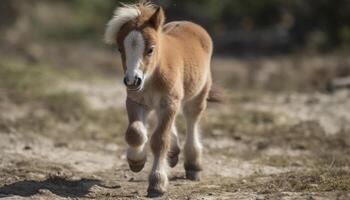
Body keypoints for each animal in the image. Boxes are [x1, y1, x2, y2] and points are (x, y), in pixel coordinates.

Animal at [104, 0, 219, 196]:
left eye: (150, 49)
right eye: (120, 49)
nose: (132, 81)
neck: (152, 77)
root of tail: (189, 23)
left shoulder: (169, 102)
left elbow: (159, 140)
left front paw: (157, 183)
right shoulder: (135, 101)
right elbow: (134, 132)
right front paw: (136, 161)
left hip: (198, 93)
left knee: (192, 119)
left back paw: (193, 165)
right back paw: (173, 153)